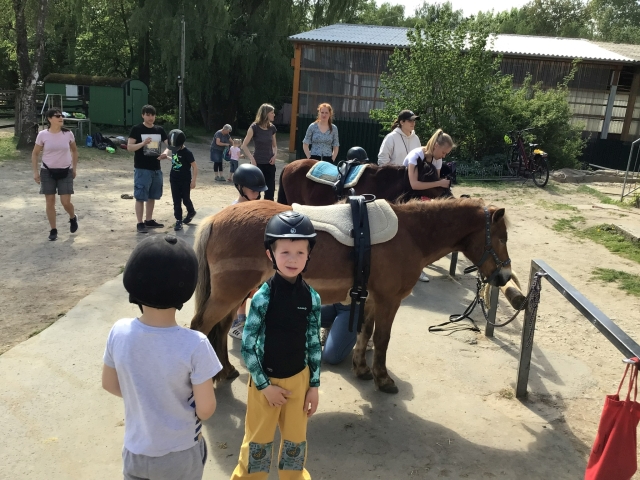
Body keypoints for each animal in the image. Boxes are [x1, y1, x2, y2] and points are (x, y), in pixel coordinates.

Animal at [190, 197, 511, 394]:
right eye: (502, 237)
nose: (504, 277)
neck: (411, 235)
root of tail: (215, 219)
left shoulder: (370, 299)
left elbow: (365, 333)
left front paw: (361, 369)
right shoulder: (389, 300)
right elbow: (382, 338)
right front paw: (383, 378)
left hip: (235, 295)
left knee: (219, 329)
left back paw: (226, 371)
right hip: (229, 294)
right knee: (201, 326)